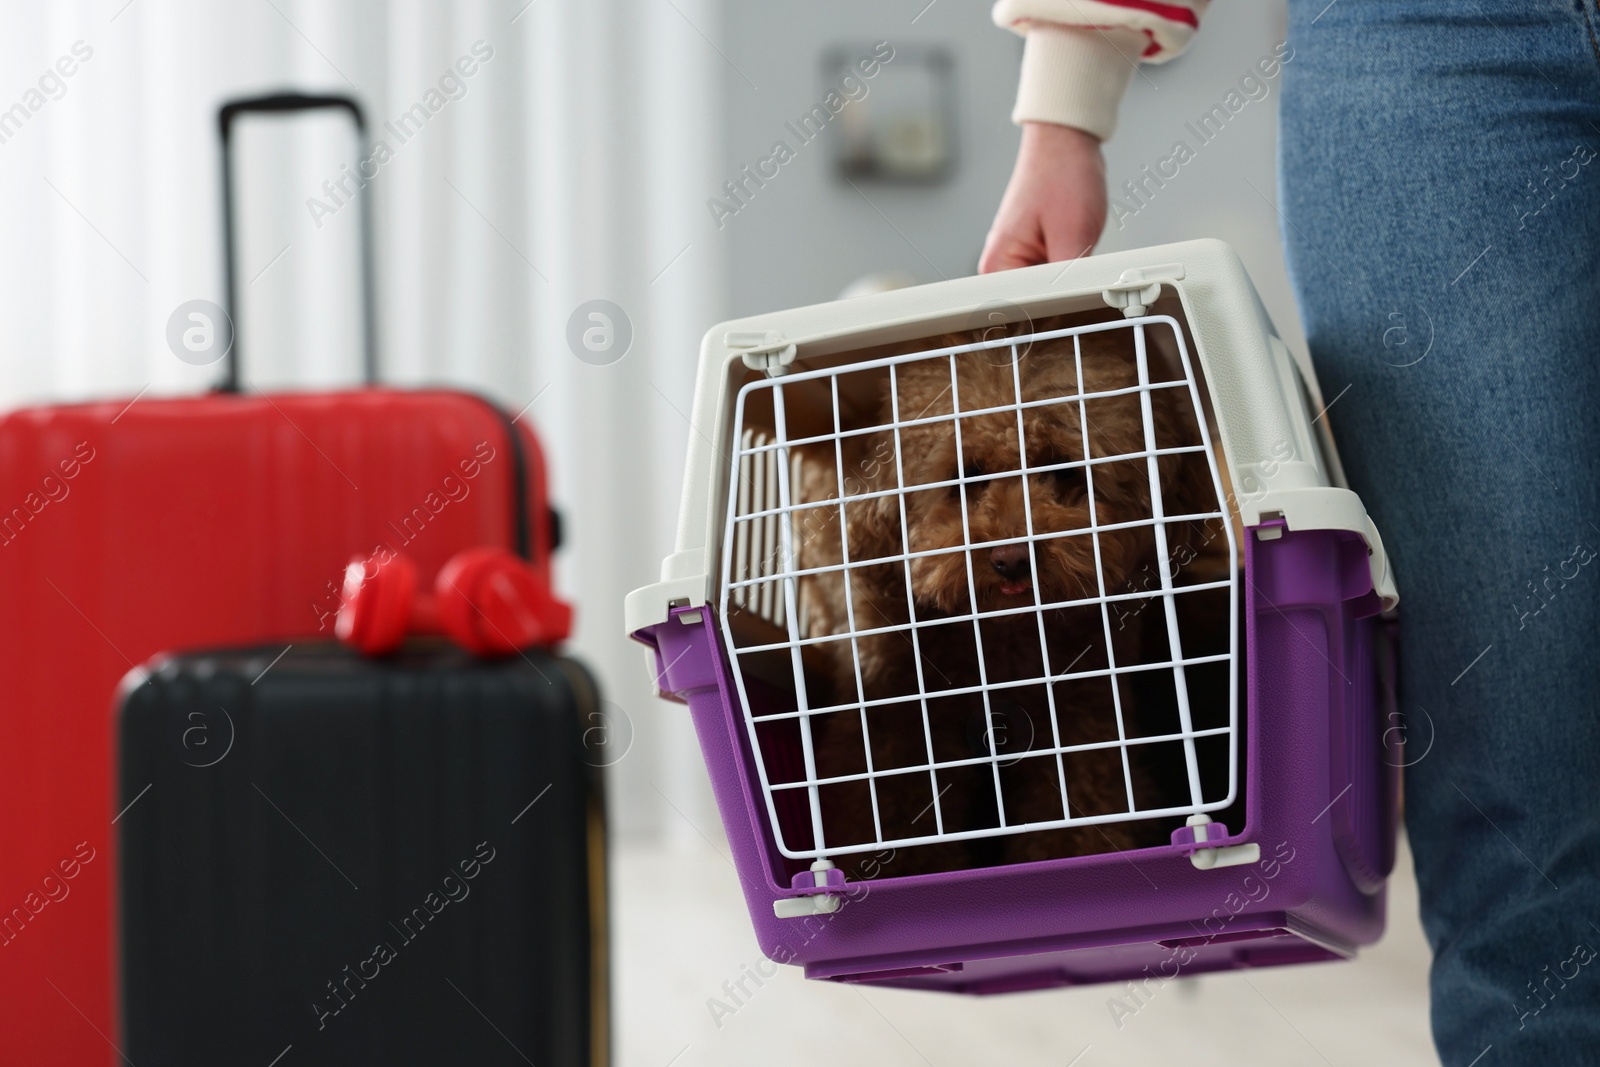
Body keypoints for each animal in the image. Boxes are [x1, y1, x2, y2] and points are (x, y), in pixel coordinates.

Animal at [793, 329, 1203, 883]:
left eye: (1062, 468)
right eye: (966, 476)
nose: (1011, 560)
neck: (1001, 635)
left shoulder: (1082, 712)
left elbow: (1079, 800)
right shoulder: (897, 715)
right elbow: (896, 801)